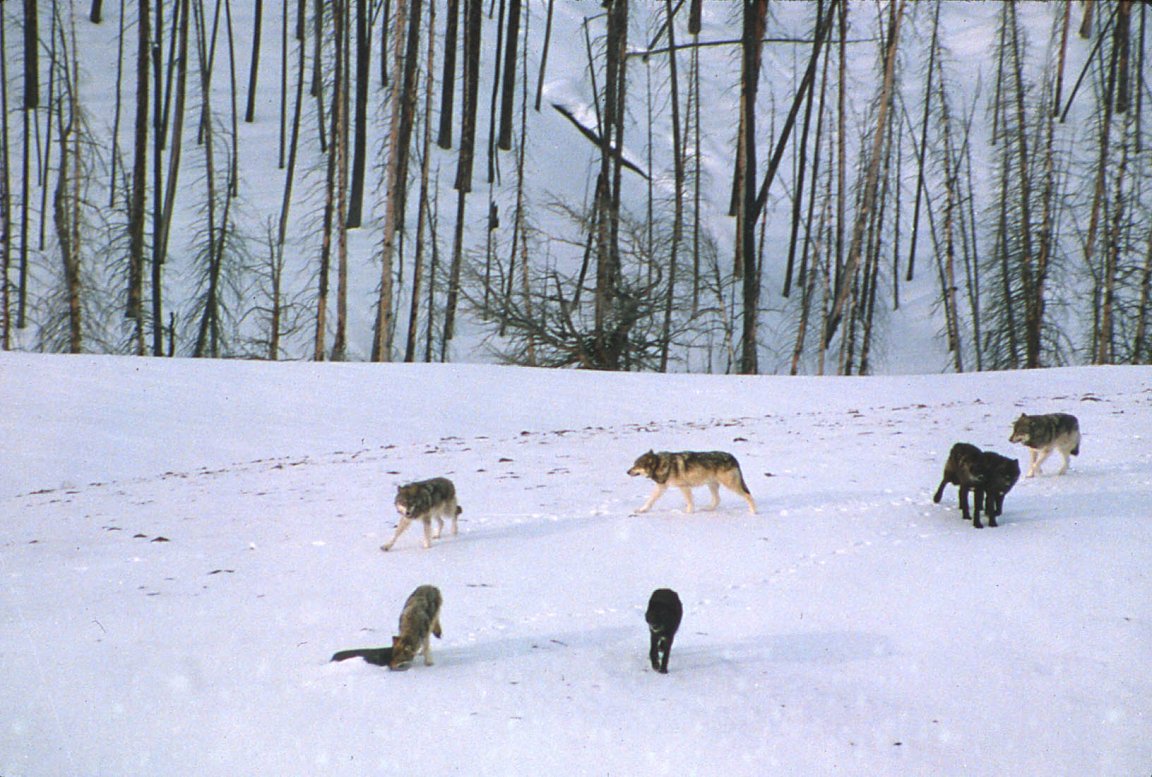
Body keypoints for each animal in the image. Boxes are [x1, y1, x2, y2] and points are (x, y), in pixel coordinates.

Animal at [627, 450, 757, 515]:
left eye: (636, 466)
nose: (627, 472)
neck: (661, 464)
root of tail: (733, 457)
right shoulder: (661, 487)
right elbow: (650, 500)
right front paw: (642, 510)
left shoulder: (684, 486)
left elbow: (689, 501)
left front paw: (688, 513)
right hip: (712, 484)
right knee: (717, 500)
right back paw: (706, 509)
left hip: (730, 485)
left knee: (748, 495)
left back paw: (753, 512)